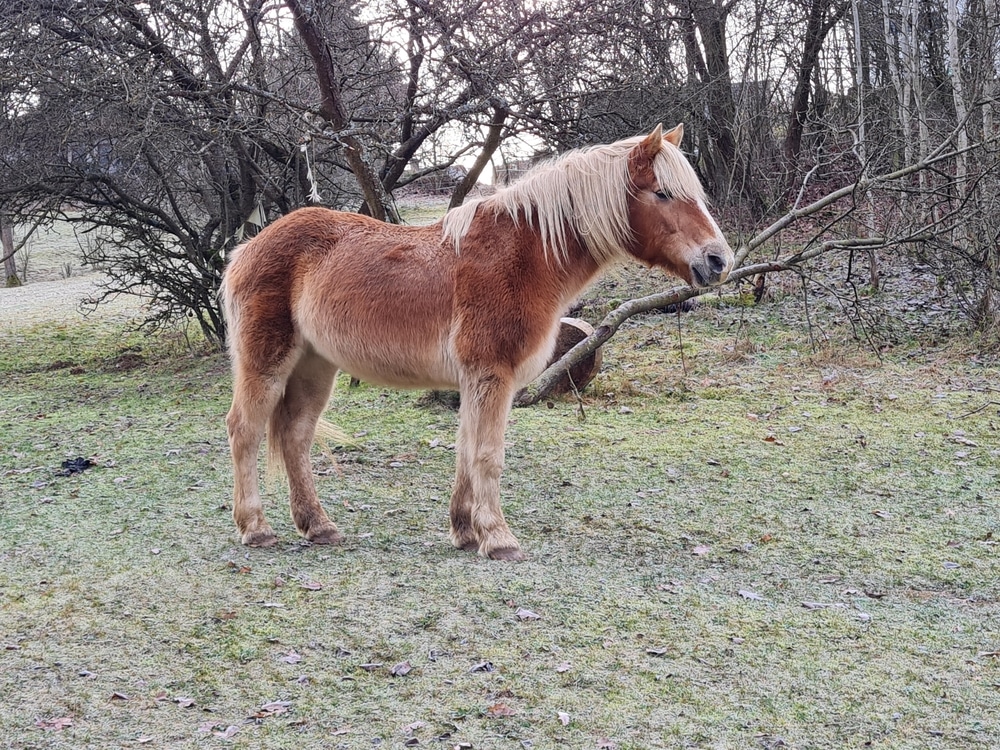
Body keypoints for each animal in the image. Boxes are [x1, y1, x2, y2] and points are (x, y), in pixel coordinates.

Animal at [221, 125, 736, 560]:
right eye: (662, 193)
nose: (718, 261)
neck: (522, 255)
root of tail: (246, 248)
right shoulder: (492, 375)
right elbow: (488, 455)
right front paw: (499, 538)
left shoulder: (475, 381)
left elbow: (467, 451)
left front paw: (466, 531)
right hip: (267, 363)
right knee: (245, 429)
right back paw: (256, 529)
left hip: (315, 366)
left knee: (295, 436)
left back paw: (319, 526)